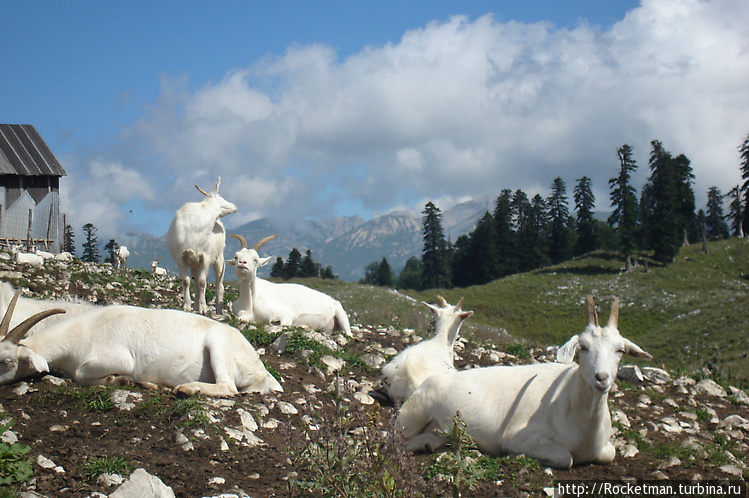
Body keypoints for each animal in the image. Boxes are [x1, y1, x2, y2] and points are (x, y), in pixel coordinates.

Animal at [0, 292, 284, 396]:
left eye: (7, 361)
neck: (84, 331)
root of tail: (262, 372)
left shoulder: (118, 358)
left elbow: (81, 374)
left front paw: (121, 380)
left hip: (218, 347)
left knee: (229, 388)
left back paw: (186, 388)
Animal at [167, 177, 237, 314]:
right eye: (220, 195)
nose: (235, 206)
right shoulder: (180, 257)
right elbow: (186, 281)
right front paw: (187, 306)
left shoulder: (206, 257)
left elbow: (202, 282)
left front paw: (203, 308)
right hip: (194, 263)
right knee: (195, 283)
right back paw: (196, 307)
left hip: (219, 259)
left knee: (218, 285)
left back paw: (218, 311)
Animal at [398, 298, 648, 468]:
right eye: (583, 347)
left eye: (620, 350)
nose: (602, 378)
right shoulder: (520, 438)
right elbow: (565, 458)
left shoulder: (604, 448)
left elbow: (610, 454)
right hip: (412, 416)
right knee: (398, 438)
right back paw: (424, 443)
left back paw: (434, 441)